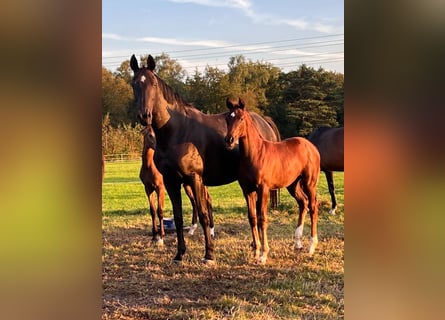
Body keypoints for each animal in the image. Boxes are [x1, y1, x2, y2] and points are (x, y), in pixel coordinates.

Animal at [130, 55, 280, 264]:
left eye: (153, 83)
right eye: (134, 83)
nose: (145, 116)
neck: (178, 131)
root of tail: (264, 121)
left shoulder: (194, 178)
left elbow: (203, 214)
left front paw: (209, 254)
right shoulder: (170, 181)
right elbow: (178, 217)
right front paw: (179, 254)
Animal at [225, 99, 320, 264]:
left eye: (241, 118)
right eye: (227, 119)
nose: (229, 140)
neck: (255, 154)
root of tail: (312, 147)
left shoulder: (263, 189)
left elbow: (263, 218)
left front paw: (263, 254)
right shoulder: (247, 190)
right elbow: (252, 218)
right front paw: (256, 251)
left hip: (309, 183)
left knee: (313, 206)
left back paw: (311, 246)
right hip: (293, 185)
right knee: (303, 203)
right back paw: (297, 242)